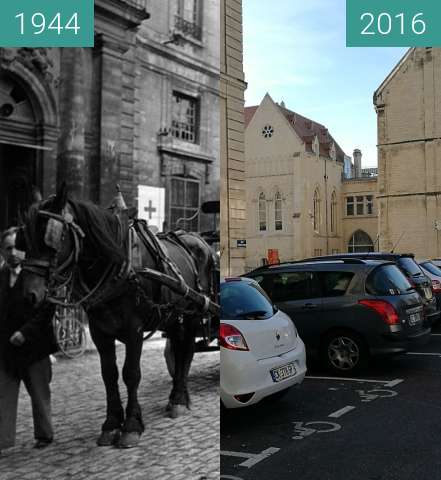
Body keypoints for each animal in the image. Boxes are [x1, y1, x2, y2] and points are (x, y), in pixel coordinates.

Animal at [18, 183, 218, 446]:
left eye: (52, 235)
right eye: (25, 238)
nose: (29, 294)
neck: (118, 264)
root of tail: (198, 240)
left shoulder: (134, 329)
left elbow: (131, 373)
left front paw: (132, 425)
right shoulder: (100, 331)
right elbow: (109, 375)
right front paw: (111, 423)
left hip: (194, 313)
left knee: (187, 353)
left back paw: (178, 399)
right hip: (176, 317)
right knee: (181, 349)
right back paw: (177, 395)